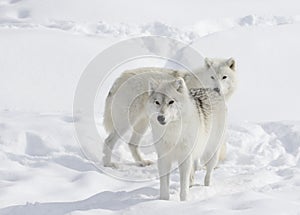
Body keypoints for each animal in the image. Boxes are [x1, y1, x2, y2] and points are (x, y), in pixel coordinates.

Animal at [103, 58, 237, 184]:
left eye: (224, 77)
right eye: (212, 77)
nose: (217, 89)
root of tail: (120, 77)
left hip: (142, 123)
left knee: (132, 143)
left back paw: (142, 162)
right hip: (127, 122)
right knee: (109, 141)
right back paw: (108, 165)